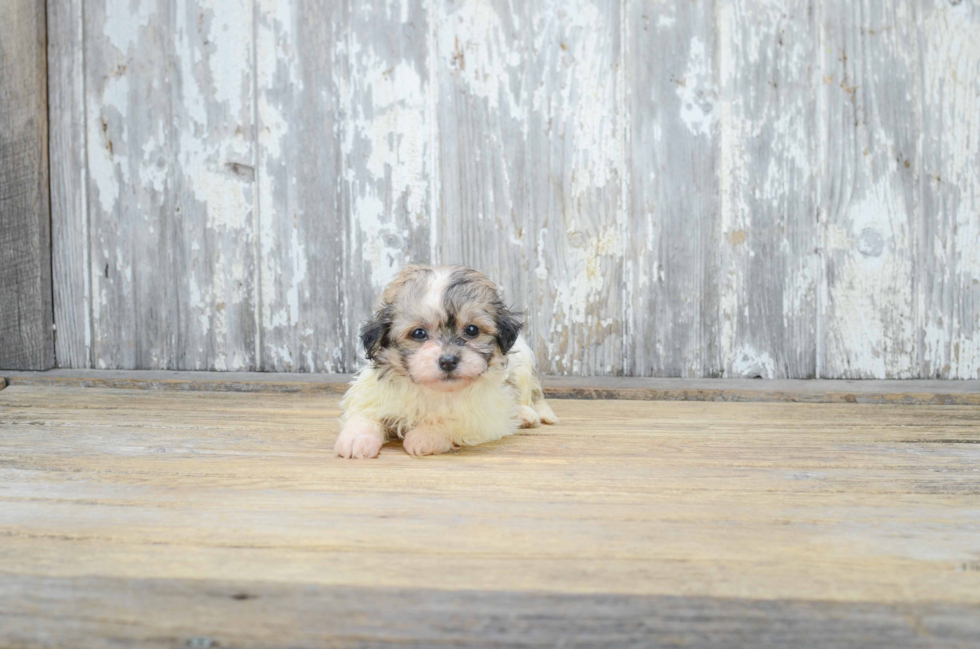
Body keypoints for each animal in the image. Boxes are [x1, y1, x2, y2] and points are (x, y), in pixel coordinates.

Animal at [334, 262, 556, 456]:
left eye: (472, 330)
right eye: (418, 333)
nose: (448, 361)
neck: (433, 390)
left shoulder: (484, 415)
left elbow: (454, 421)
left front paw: (426, 435)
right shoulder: (371, 392)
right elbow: (364, 413)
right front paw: (357, 439)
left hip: (523, 365)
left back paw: (526, 414)